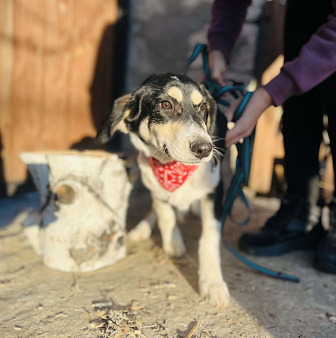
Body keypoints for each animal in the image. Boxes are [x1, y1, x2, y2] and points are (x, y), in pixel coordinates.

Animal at [96, 73, 230, 306]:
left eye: (202, 107)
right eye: (166, 104)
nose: (205, 149)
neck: (173, 168)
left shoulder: (215, 190)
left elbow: (209, 239)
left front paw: (213, 284)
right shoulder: (153, 183)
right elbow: (165, 214)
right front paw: (172, 243)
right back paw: (142, 229)